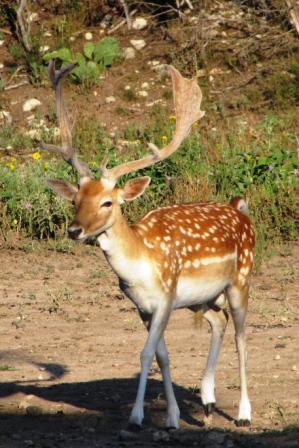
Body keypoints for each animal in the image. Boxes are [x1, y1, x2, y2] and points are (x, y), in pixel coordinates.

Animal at [41, 58, 258, 428]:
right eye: (76, 200)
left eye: (108, 202)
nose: (74, 230)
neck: (142, 262)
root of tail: (239, 210)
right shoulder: (142, 306)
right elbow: (163, 357)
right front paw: (171, 417)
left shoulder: (166, 298)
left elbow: (145, 354)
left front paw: (137, 417)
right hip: (204, 297)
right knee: (220, 322)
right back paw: (208, 401)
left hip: (240, 279)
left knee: (242, 337)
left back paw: (243, 414)